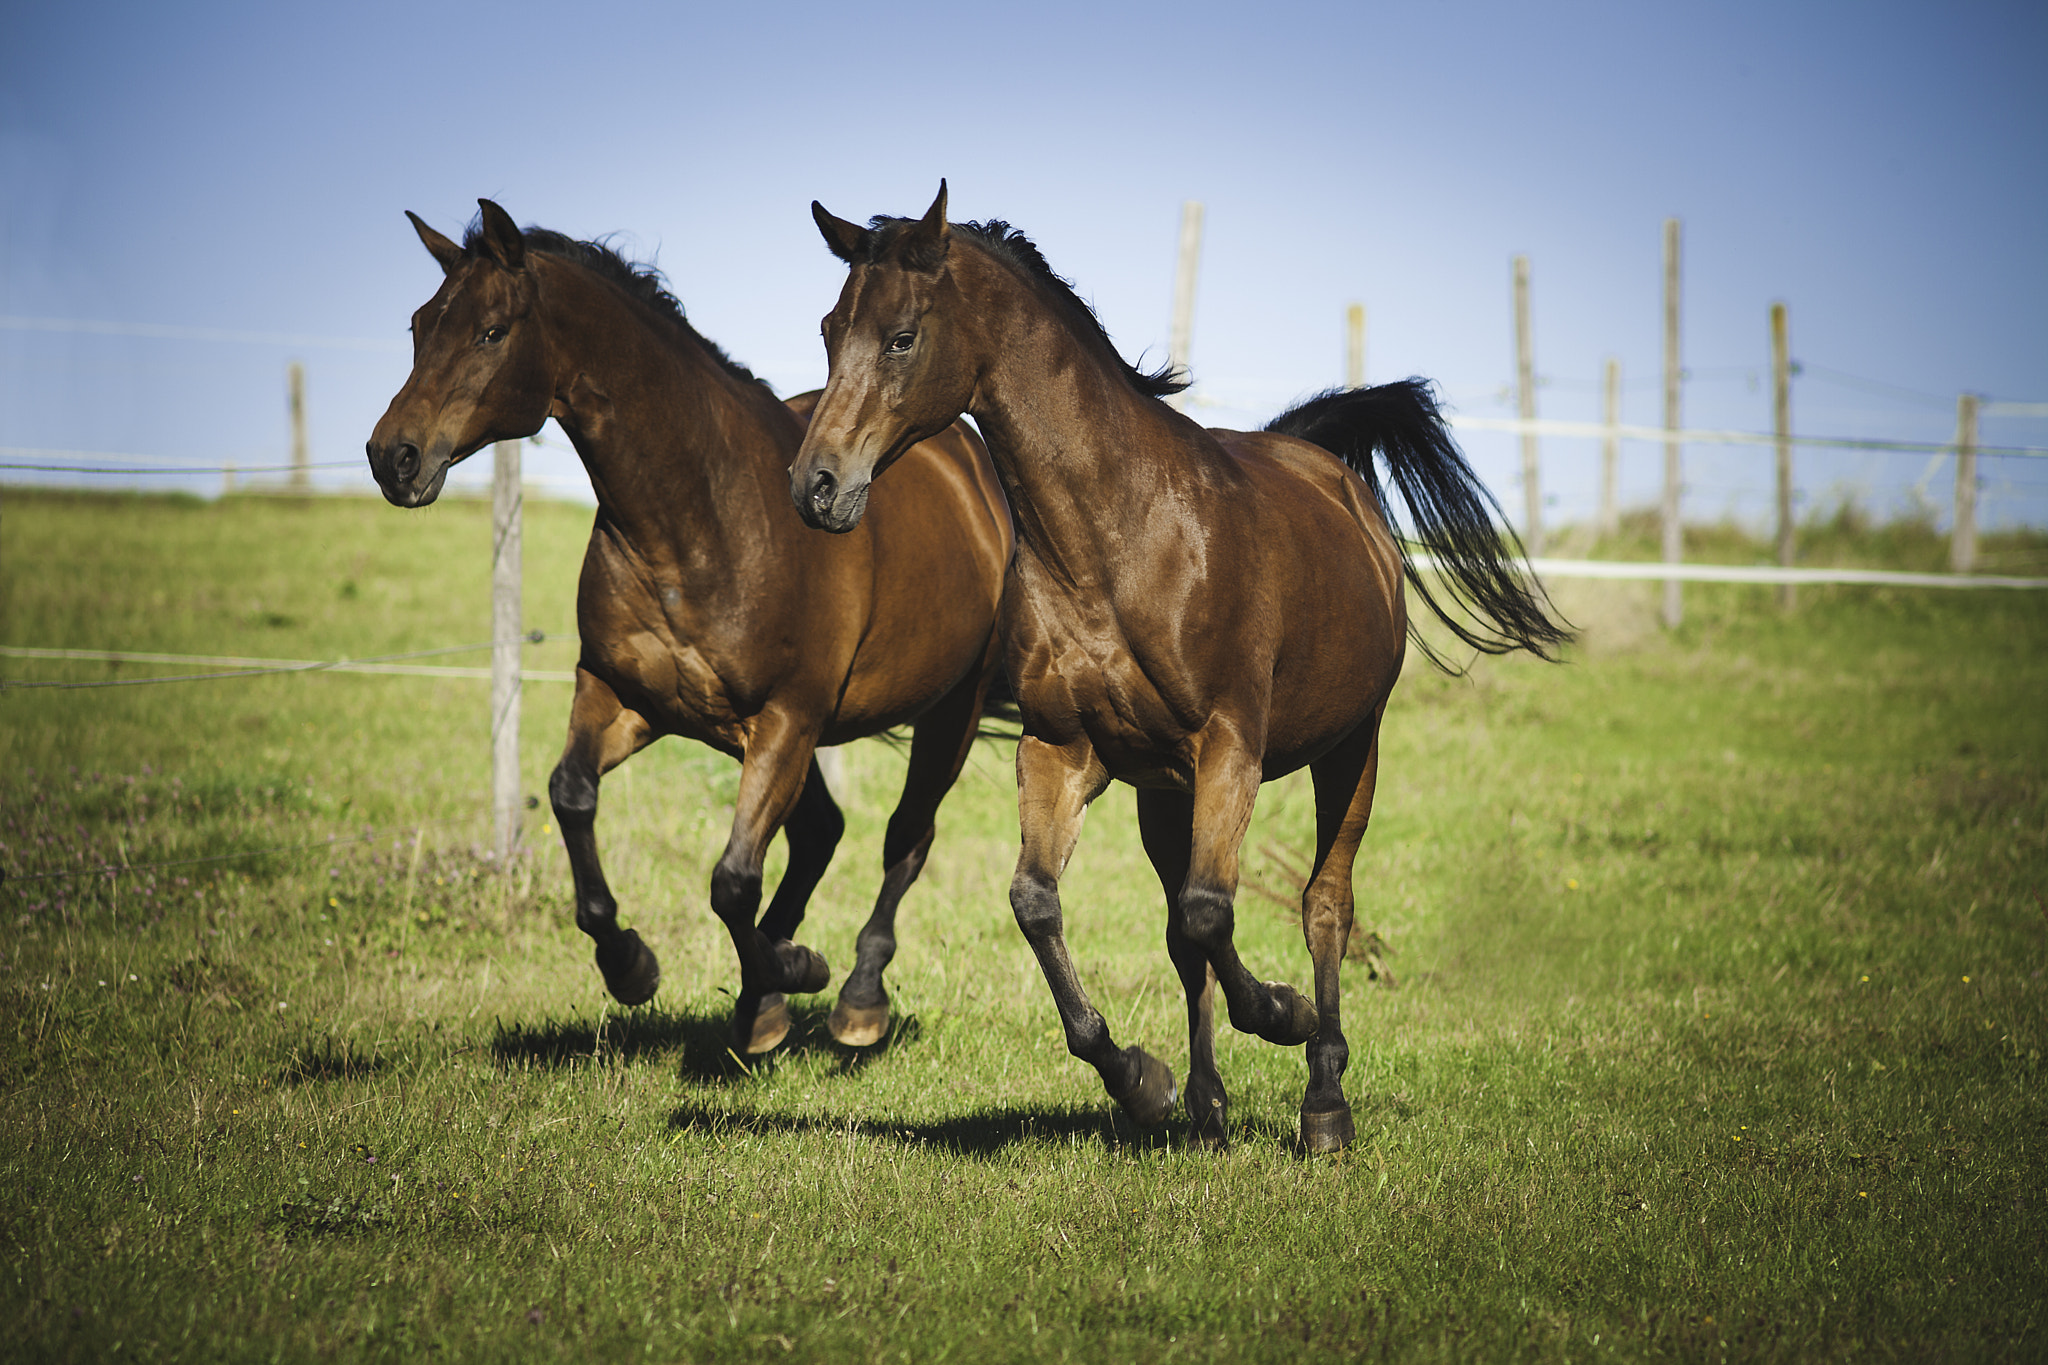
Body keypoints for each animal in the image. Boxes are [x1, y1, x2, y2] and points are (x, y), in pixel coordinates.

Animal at [366, 199, 1014, 1054]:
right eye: (418, 326)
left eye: (491, 331)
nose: (392, 457)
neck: (702, 517)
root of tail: (973, 465)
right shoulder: (629, 697)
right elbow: (570, 793)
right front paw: (634, 965)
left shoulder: (784, 719)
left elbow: (732, 878)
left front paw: (787, 975)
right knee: (821, 830)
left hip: (946, 712)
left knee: (904, 837)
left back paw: (855, 1000)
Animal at [788, 184, 1569, 1151]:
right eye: (830, 329)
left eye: (901, 337)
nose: (816, 486)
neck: (1123, 541)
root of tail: (1329, 474)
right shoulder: (1062, 750)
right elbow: (1043, 902)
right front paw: (1142, 1080)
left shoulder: (1231, 748)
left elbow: (1213, 909)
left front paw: (1281, 1014)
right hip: (1165, 790)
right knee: (1180, 929)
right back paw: (1205, 1103)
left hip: (1352, 749)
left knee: (1322, 903)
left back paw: (1324, 1098)